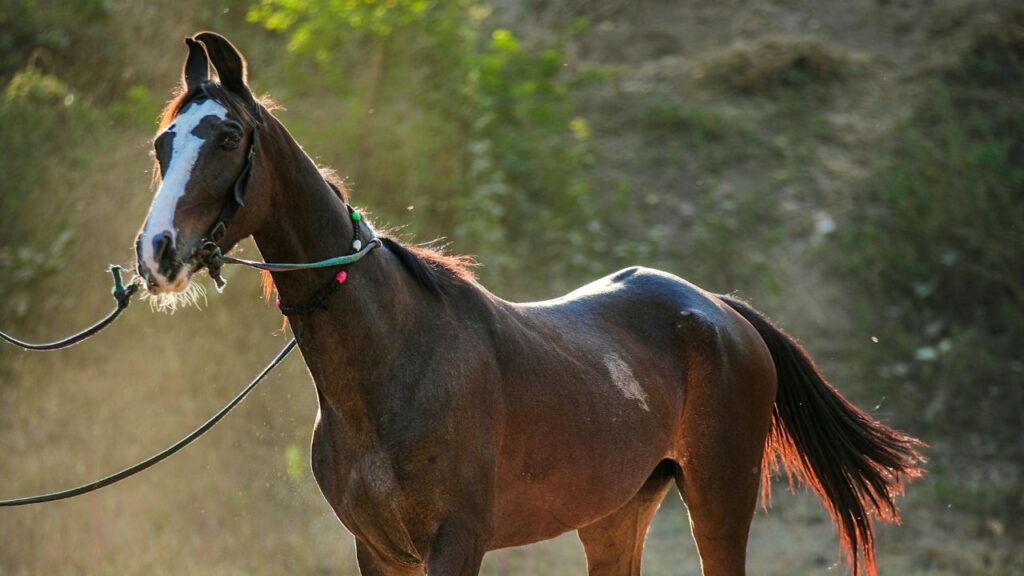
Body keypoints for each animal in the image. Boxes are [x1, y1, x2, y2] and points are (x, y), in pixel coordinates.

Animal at [134, 32, 925, 576]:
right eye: (162, 143)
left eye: (227, 136)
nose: (157, 252)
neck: (394, 360)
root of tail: (722, 311)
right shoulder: (378, 551)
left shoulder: (456, 543)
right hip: (615, 517)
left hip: (720, 505)